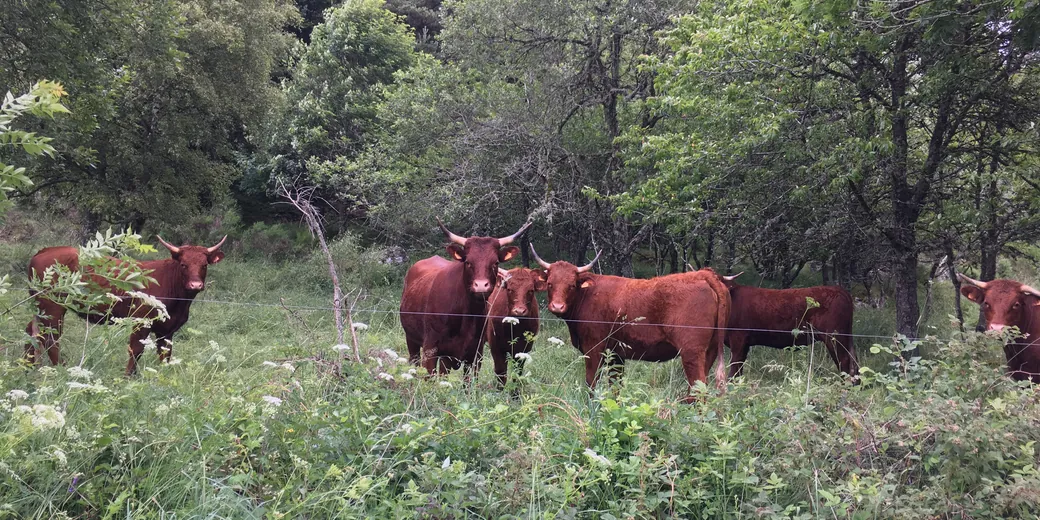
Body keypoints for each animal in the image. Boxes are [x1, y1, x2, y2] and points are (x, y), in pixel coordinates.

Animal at [25, 236, 227, 375]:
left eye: (204, 265)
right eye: (184, 264)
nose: (195, 285)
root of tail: (44, 251)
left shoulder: (168, 329)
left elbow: (165, 355)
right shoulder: (141, 321)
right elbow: (136, 349)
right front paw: (129, 376)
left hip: (41, 307)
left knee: (32, 331)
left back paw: (29, 366)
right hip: (53, 307)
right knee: (51, 338)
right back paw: (62, 368)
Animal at [400, 220, 531, 377]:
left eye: (495, 263)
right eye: (468, 262)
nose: (481, 285)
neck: (466, 315)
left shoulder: (475, 353)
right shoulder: (430, 348)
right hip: (411, 340)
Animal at [530, 246, 730, 401]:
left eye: (571, 285)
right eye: (550, 283)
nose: (557, 306)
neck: (587, 295)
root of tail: (703, 274)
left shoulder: (593, 349)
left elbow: (591, 384)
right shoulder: (616, 354)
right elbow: (615, 387)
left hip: (691, 352)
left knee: (699, 390)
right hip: (709, 351)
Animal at [719, 273, 858, 380]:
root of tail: (839, 290)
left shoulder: (738, 339)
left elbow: (734, 365)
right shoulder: (744, 344)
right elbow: (739, 367)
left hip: (834, 337)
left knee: (845, 360)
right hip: (845, 337)